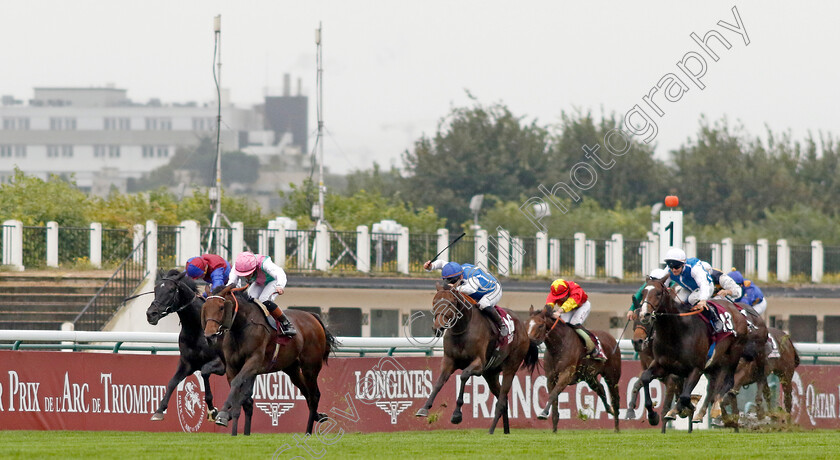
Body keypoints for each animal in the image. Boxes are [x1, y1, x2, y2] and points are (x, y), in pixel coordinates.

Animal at [145, 272, 225, 422]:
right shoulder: (187, 363)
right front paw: (159, 410)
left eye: (171, 290)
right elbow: (172, 382)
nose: (150, 314)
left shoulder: (221, 364)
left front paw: (212, 410)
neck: (197, 329)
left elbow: (205, 372)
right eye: (155, 289)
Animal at [203, 286, 334, 436]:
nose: (209, 335)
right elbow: (238, 388)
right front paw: (230, 418)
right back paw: (319, 416)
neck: (242, 326)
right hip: (292, 369)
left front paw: (223, 414)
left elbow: (237, 383)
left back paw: (308, 431)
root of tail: (313, 316)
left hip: (310, 367)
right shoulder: (231, 366)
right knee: (306, 391)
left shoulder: (253, 362)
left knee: (314, 396)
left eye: (221, 307)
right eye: (205, 307)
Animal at [414, 282, 540, 434]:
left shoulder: (479, 365)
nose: (437, 328)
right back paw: (505, 431)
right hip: (491, 374)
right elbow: (439, 382)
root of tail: (524, 331)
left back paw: (491, 430)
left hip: (510, 367)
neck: (462, 329)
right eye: (434, 302)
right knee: (502, 399)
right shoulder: (449, 361)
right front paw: (424, 408)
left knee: (502, 399)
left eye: (450, 303)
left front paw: (457, 415)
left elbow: (463, 376)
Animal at [636, 274, 748, 434]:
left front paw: (683, 409)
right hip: (714, 364)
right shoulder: (662, 365)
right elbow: (645, 378)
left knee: (728, 381)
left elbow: (684, 397)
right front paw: (653, 416)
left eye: (658, 293)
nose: (644, 314)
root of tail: (736, 309)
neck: (676, 333)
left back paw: (716, 408)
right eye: (644, 292)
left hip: (733, 354)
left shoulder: (696, 368)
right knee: (713, 385)